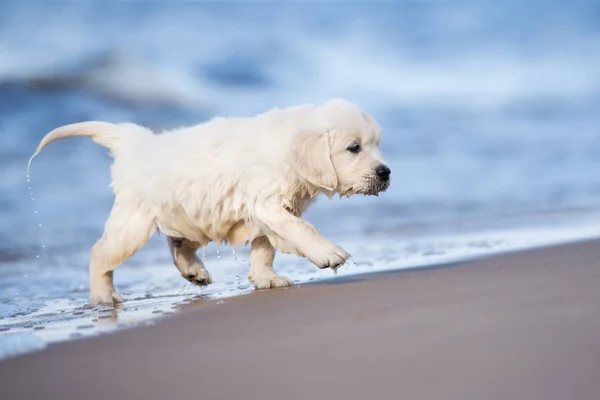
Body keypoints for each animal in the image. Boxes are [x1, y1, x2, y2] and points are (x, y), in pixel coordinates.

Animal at [30, 98, 392, 304]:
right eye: (354, 148)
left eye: (376, 144)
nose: (386, 172)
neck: (288, 147)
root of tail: (134, 142)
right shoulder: (267, 202)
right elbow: (301, 229)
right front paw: (328, 252)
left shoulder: (271, 209)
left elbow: (265, 247)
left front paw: (266, 278)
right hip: (133, 223)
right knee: (100, 253)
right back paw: (103, 297)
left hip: (186, 213)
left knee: (177, 243)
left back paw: (193, 271)